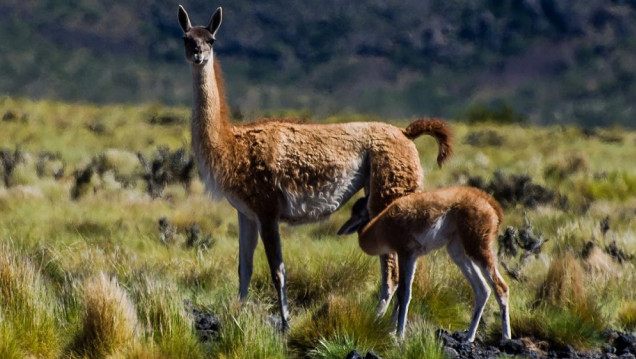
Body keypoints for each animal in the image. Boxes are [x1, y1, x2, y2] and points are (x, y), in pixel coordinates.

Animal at [338, 187, 512, 342]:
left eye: (359, 212)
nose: (343, 229)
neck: (380, 227)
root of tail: (490, 203)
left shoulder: (405, 252)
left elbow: (404, 293)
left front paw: (399, 334)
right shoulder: (412, 256)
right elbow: (402, 293)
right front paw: (392, 330)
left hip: (477, 245)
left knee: (500, 287)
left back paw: (505, 337)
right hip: (457, 250)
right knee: (482, 289)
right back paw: (469, 337)